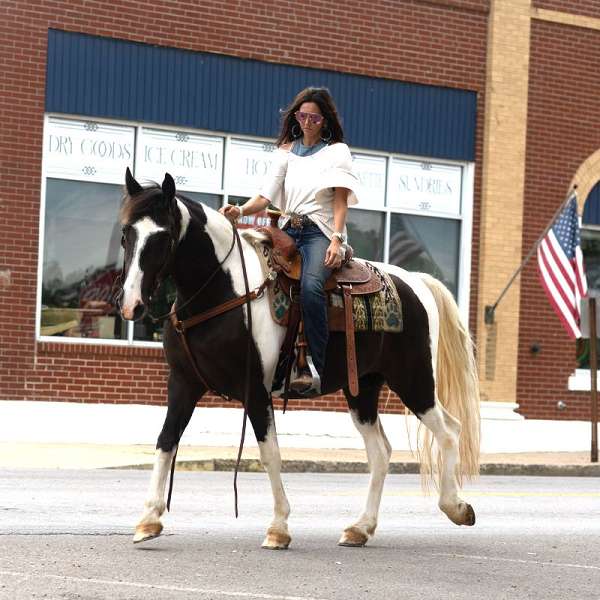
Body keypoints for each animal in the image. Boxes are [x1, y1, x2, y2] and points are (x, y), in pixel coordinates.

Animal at [119, 168, 480, 548]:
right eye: (127, 233)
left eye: (163, 237)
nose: (131, 305)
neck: (223, 291)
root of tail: (416, 280)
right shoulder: (183, 384)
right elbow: (166, 441)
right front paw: (148, 519)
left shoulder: (256, 390)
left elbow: (270, 454)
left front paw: (278, 527)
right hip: (363, 389)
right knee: (380, 453)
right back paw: (360, 528)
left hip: (414, 381)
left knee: (450, 431)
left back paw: (456, 507)